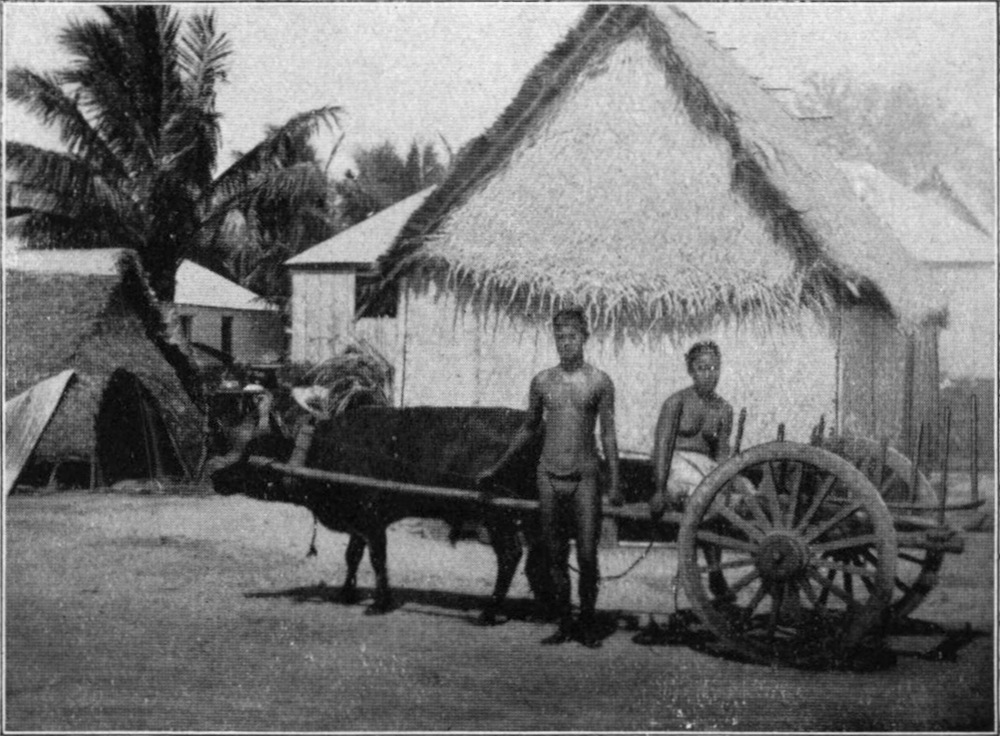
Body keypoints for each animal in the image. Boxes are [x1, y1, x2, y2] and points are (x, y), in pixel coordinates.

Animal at [207, 397, 554, 623]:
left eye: (252, 449)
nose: (213, 474)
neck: (324, 451)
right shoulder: (358, 520)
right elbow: (352, 556)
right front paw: (347, 594)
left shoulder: (372, 519)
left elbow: (377, 559)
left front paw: (379, 602)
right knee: (538, 560)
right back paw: (543, 607)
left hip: (499, 516)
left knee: (510, 556)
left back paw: (490, 612)